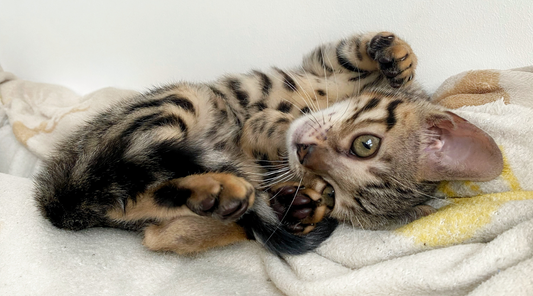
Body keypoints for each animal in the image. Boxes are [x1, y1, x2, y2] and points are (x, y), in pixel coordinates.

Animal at [35, 31, 500, 254]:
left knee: (160, 223)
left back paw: (226, 194)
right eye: (366, 144)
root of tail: (58, 195)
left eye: (335, 190)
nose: (305, 154)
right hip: (182, 100)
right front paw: (398, 58)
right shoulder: (325, 64)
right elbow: (353, 50)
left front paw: (302, 190)